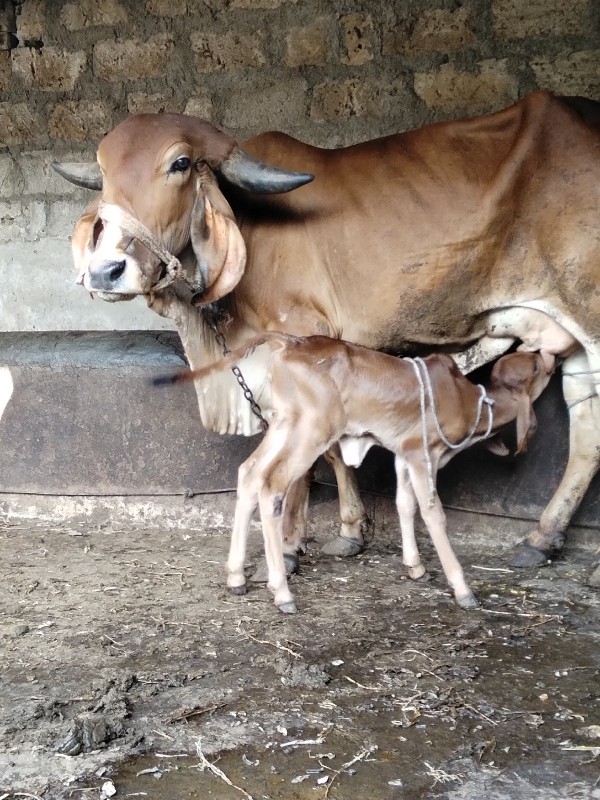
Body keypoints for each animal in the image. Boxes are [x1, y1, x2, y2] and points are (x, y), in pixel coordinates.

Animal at [54, 90, 600, 572]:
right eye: (103, 170)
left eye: (181, 163)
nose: (105, 272)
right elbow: (335, 446)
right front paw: (349, 532)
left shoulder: (302, 339)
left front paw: (290, 547)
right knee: (587, 430)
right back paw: (542, 538)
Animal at [157, 332, 556, 612]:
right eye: (535, 369)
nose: (549, 354)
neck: (467, 400)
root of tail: (292, 341)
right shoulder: (421, 451)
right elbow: (433, 512)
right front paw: (462, 588)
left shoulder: (402, 454)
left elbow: (405, 505)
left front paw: (415, 567)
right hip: (311, 432)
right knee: (272, 486)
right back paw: (282, 593)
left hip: (284, 426)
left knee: (249, 474)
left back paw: (236, 576)